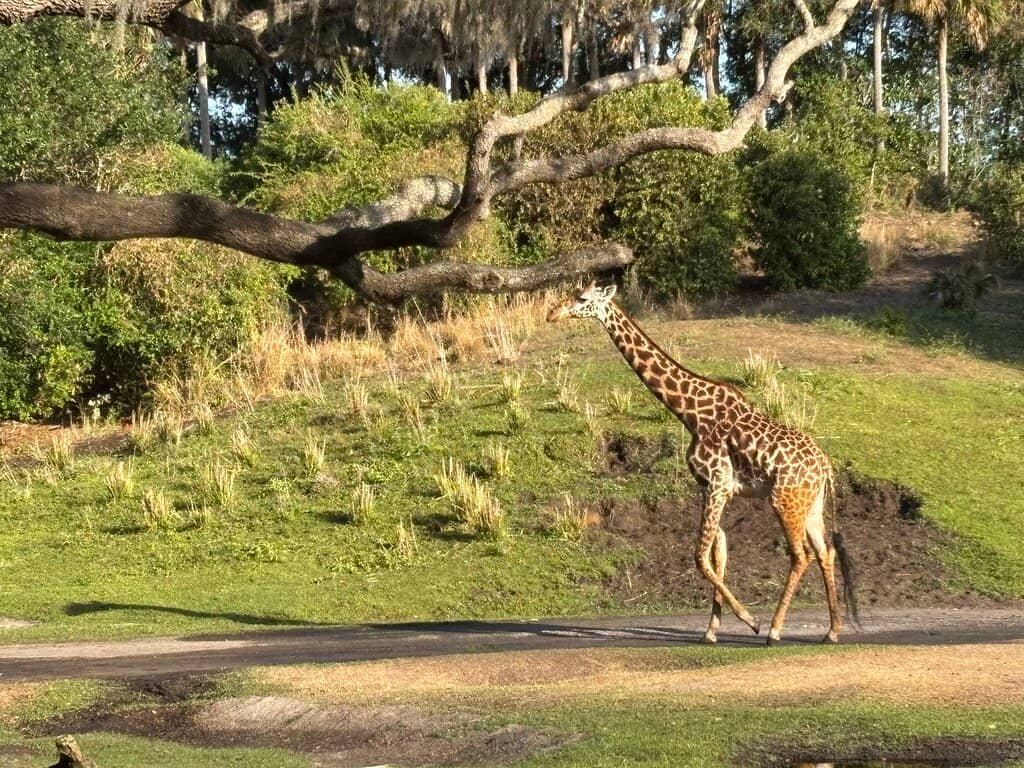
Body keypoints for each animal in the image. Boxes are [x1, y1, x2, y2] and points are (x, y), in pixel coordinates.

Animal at [547, 282, 857, 645]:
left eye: (582, 298)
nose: (552, 313)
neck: (689, 412)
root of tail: (826, 468)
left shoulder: (718, 483)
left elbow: (699, 556)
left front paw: (750, 621)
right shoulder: (709, 487)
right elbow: (718, 553)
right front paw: (711, 631)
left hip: (784, 500)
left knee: (801, 554)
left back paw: (774, 630)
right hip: (810, 503)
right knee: (825, 552)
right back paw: (832, 631)